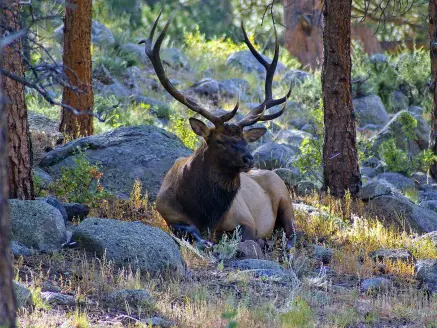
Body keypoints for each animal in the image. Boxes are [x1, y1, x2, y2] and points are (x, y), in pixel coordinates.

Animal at [140, 14, 296, 247]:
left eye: (245, 141)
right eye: (219, 141)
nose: (249, 159)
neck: (206, 215)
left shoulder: (246, 219)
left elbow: (244, 238)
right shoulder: (167, 213)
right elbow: (188, 230)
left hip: (285, 197)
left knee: (293, 232)